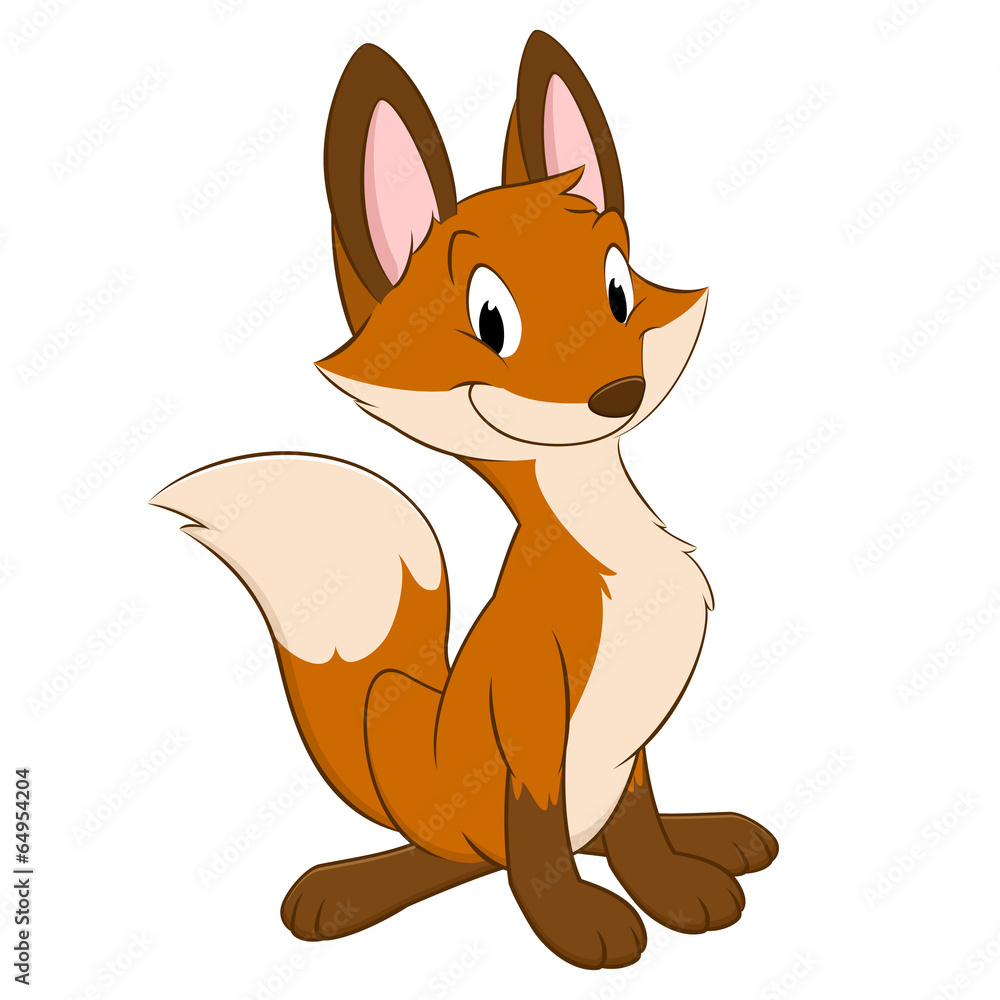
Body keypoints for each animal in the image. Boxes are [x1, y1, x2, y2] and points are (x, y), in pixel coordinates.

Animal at [152, 31, 777, 970]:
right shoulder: (531, 719)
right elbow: (545, 845)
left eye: (618, 291)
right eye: (492, 321)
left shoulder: (633, 747)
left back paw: (715, 833)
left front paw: (672, 883)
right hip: (445, 789)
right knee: (463, 859)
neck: (608, 543)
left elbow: (640, 827)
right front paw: (575, 922)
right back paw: (346, 888)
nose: (618, 393)